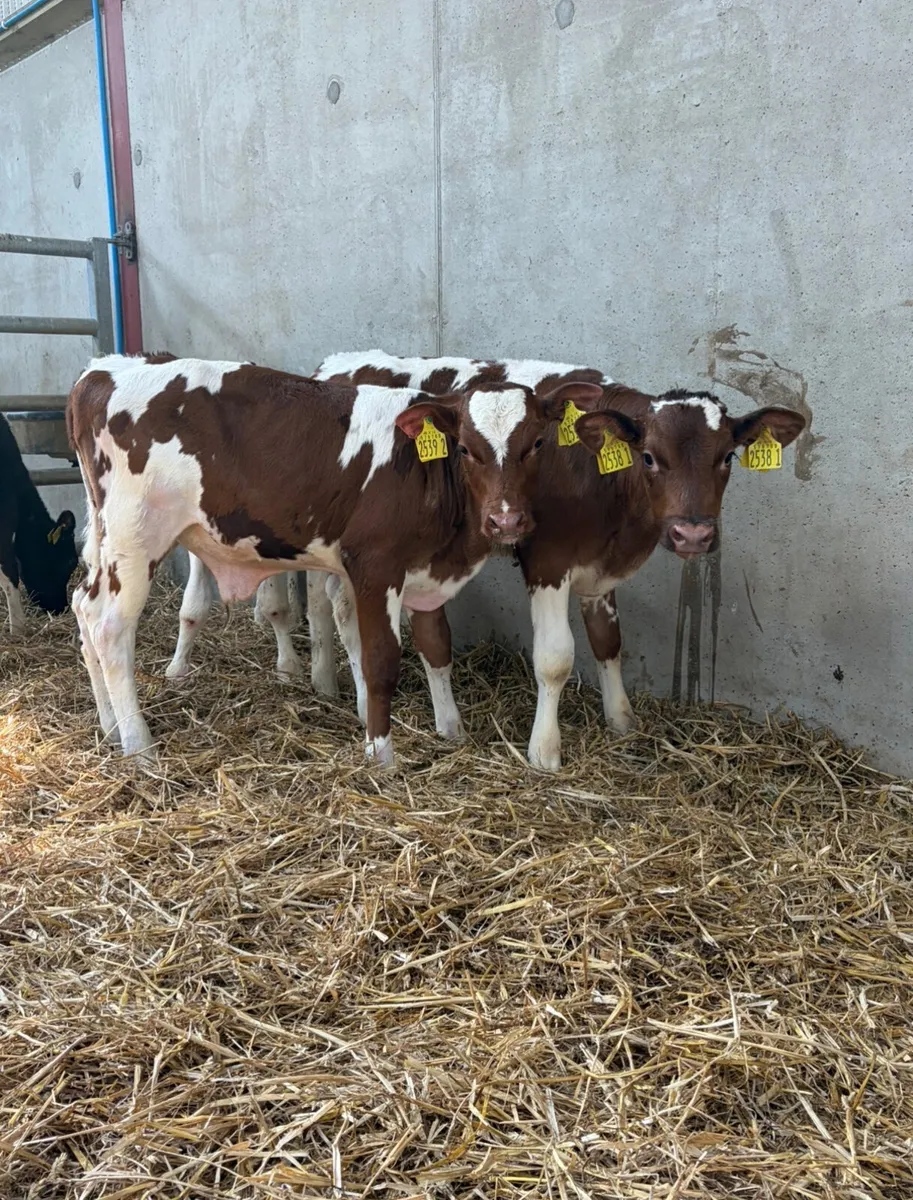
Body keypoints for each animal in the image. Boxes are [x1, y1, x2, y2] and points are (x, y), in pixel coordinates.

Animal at [66, 354, 602, 764]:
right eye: (467, 449)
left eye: (537, 443)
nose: (506, 521)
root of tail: (101, 373)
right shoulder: (375, 566)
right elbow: (381, 660)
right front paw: (380, 754)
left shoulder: (425, 573)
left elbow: (435, 646)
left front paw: (451, 730)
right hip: (136, 537)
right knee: (110, 628)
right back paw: (138, 744)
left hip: (108, 538)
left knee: (83, 607)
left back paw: (110, 727)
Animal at [315, 351, 807, 770]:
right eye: (649, 457)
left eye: (728, 457)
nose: (693, 534)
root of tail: (336, 364)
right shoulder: (548, 561)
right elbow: (555, 658)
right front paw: (544, 751)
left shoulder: (600, 570)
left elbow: (608, 642)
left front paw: (621, 720)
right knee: (337, 606)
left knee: (330, 602)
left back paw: (329, 684)